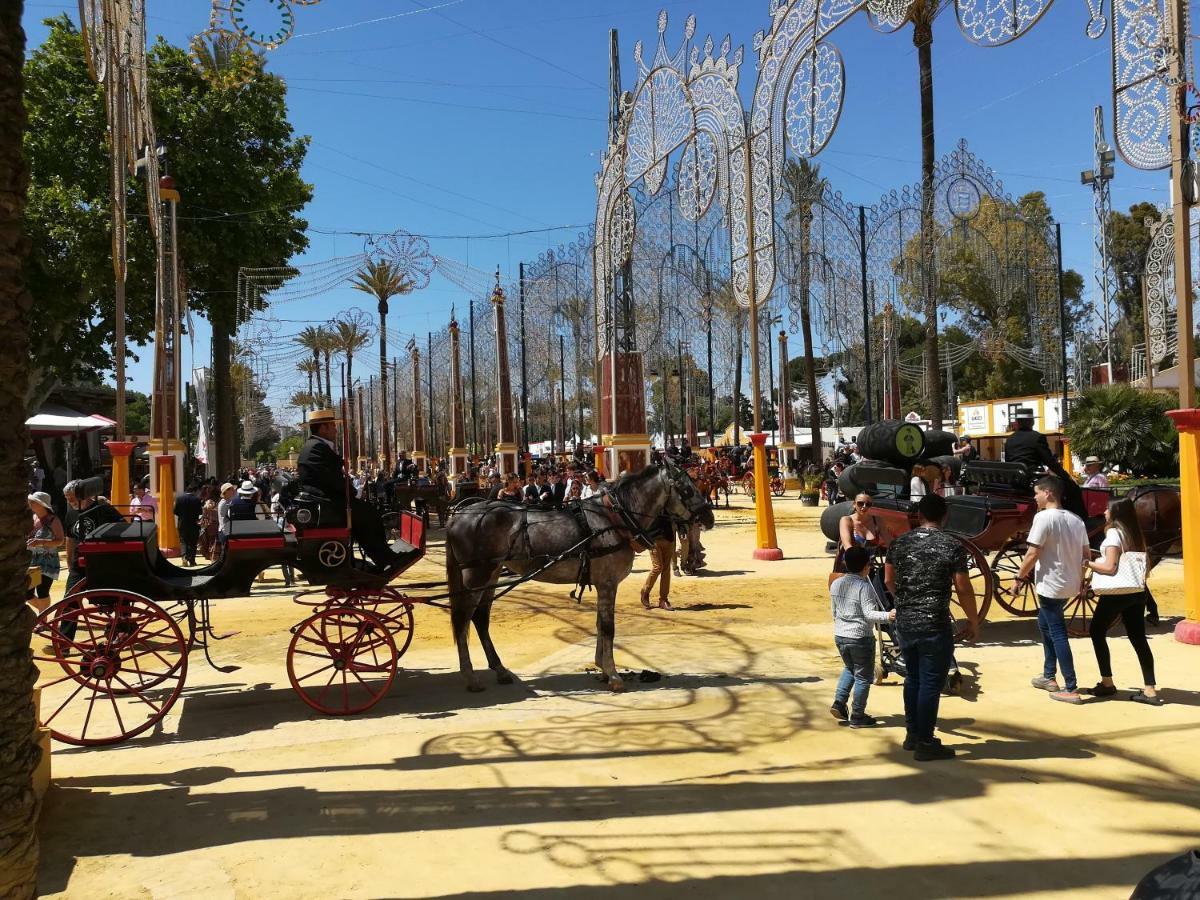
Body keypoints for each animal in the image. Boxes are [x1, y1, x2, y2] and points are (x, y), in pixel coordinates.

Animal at [448, 460, 710, 696]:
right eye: (687, 489)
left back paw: (500, 670)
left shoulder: (603, 583)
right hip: (476, 577)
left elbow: (600, 624)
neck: (614, 518)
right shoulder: (607, 583)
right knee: (462, 620)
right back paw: (470, 676)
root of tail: (459, 514)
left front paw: (602, 668)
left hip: (491, 574)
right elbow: (608, 627)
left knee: (480, 618)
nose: (708, 515)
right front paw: (613, 675)